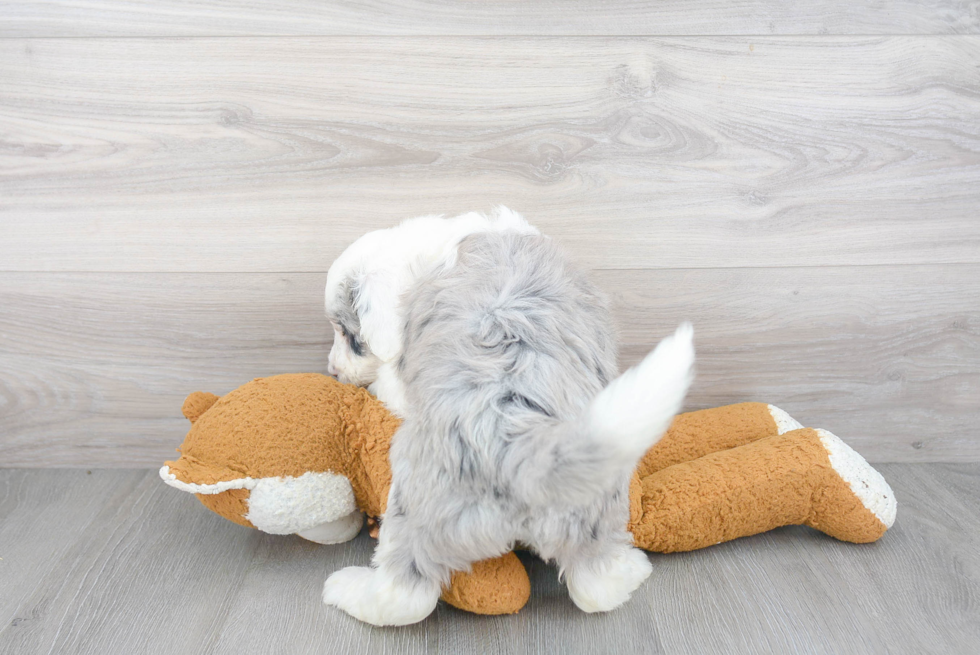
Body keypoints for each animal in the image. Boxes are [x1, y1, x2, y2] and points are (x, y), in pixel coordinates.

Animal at [324, 209, 696, 624]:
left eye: (349, 336)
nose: (332, 371)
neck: (429, 250)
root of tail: (520, 448)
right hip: (594, 505)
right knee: (596, 586)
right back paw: (633, 569)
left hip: (418, 499)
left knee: (403, 593)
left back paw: (344, 589)